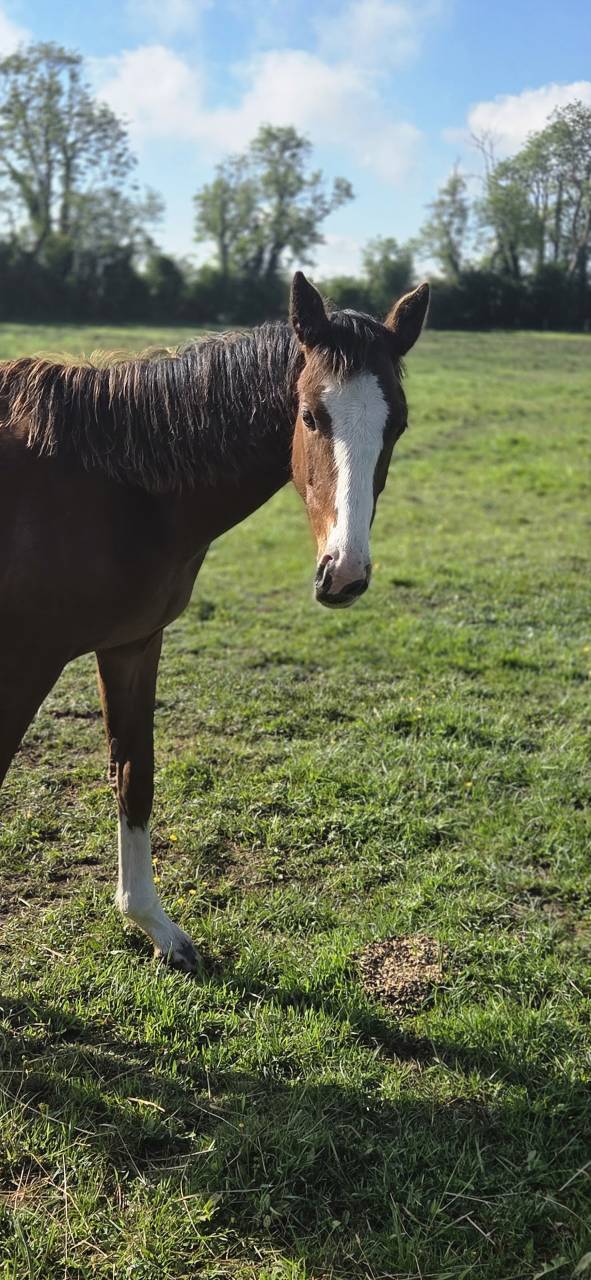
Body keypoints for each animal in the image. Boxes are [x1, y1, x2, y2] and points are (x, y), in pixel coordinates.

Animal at [0, 272, 429, 971]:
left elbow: (134, 776)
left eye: (398, 424)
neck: (112, 490)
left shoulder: (133, 645)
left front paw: (156, 928)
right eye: (310, 415)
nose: (344, 573)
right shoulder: (22, 665)